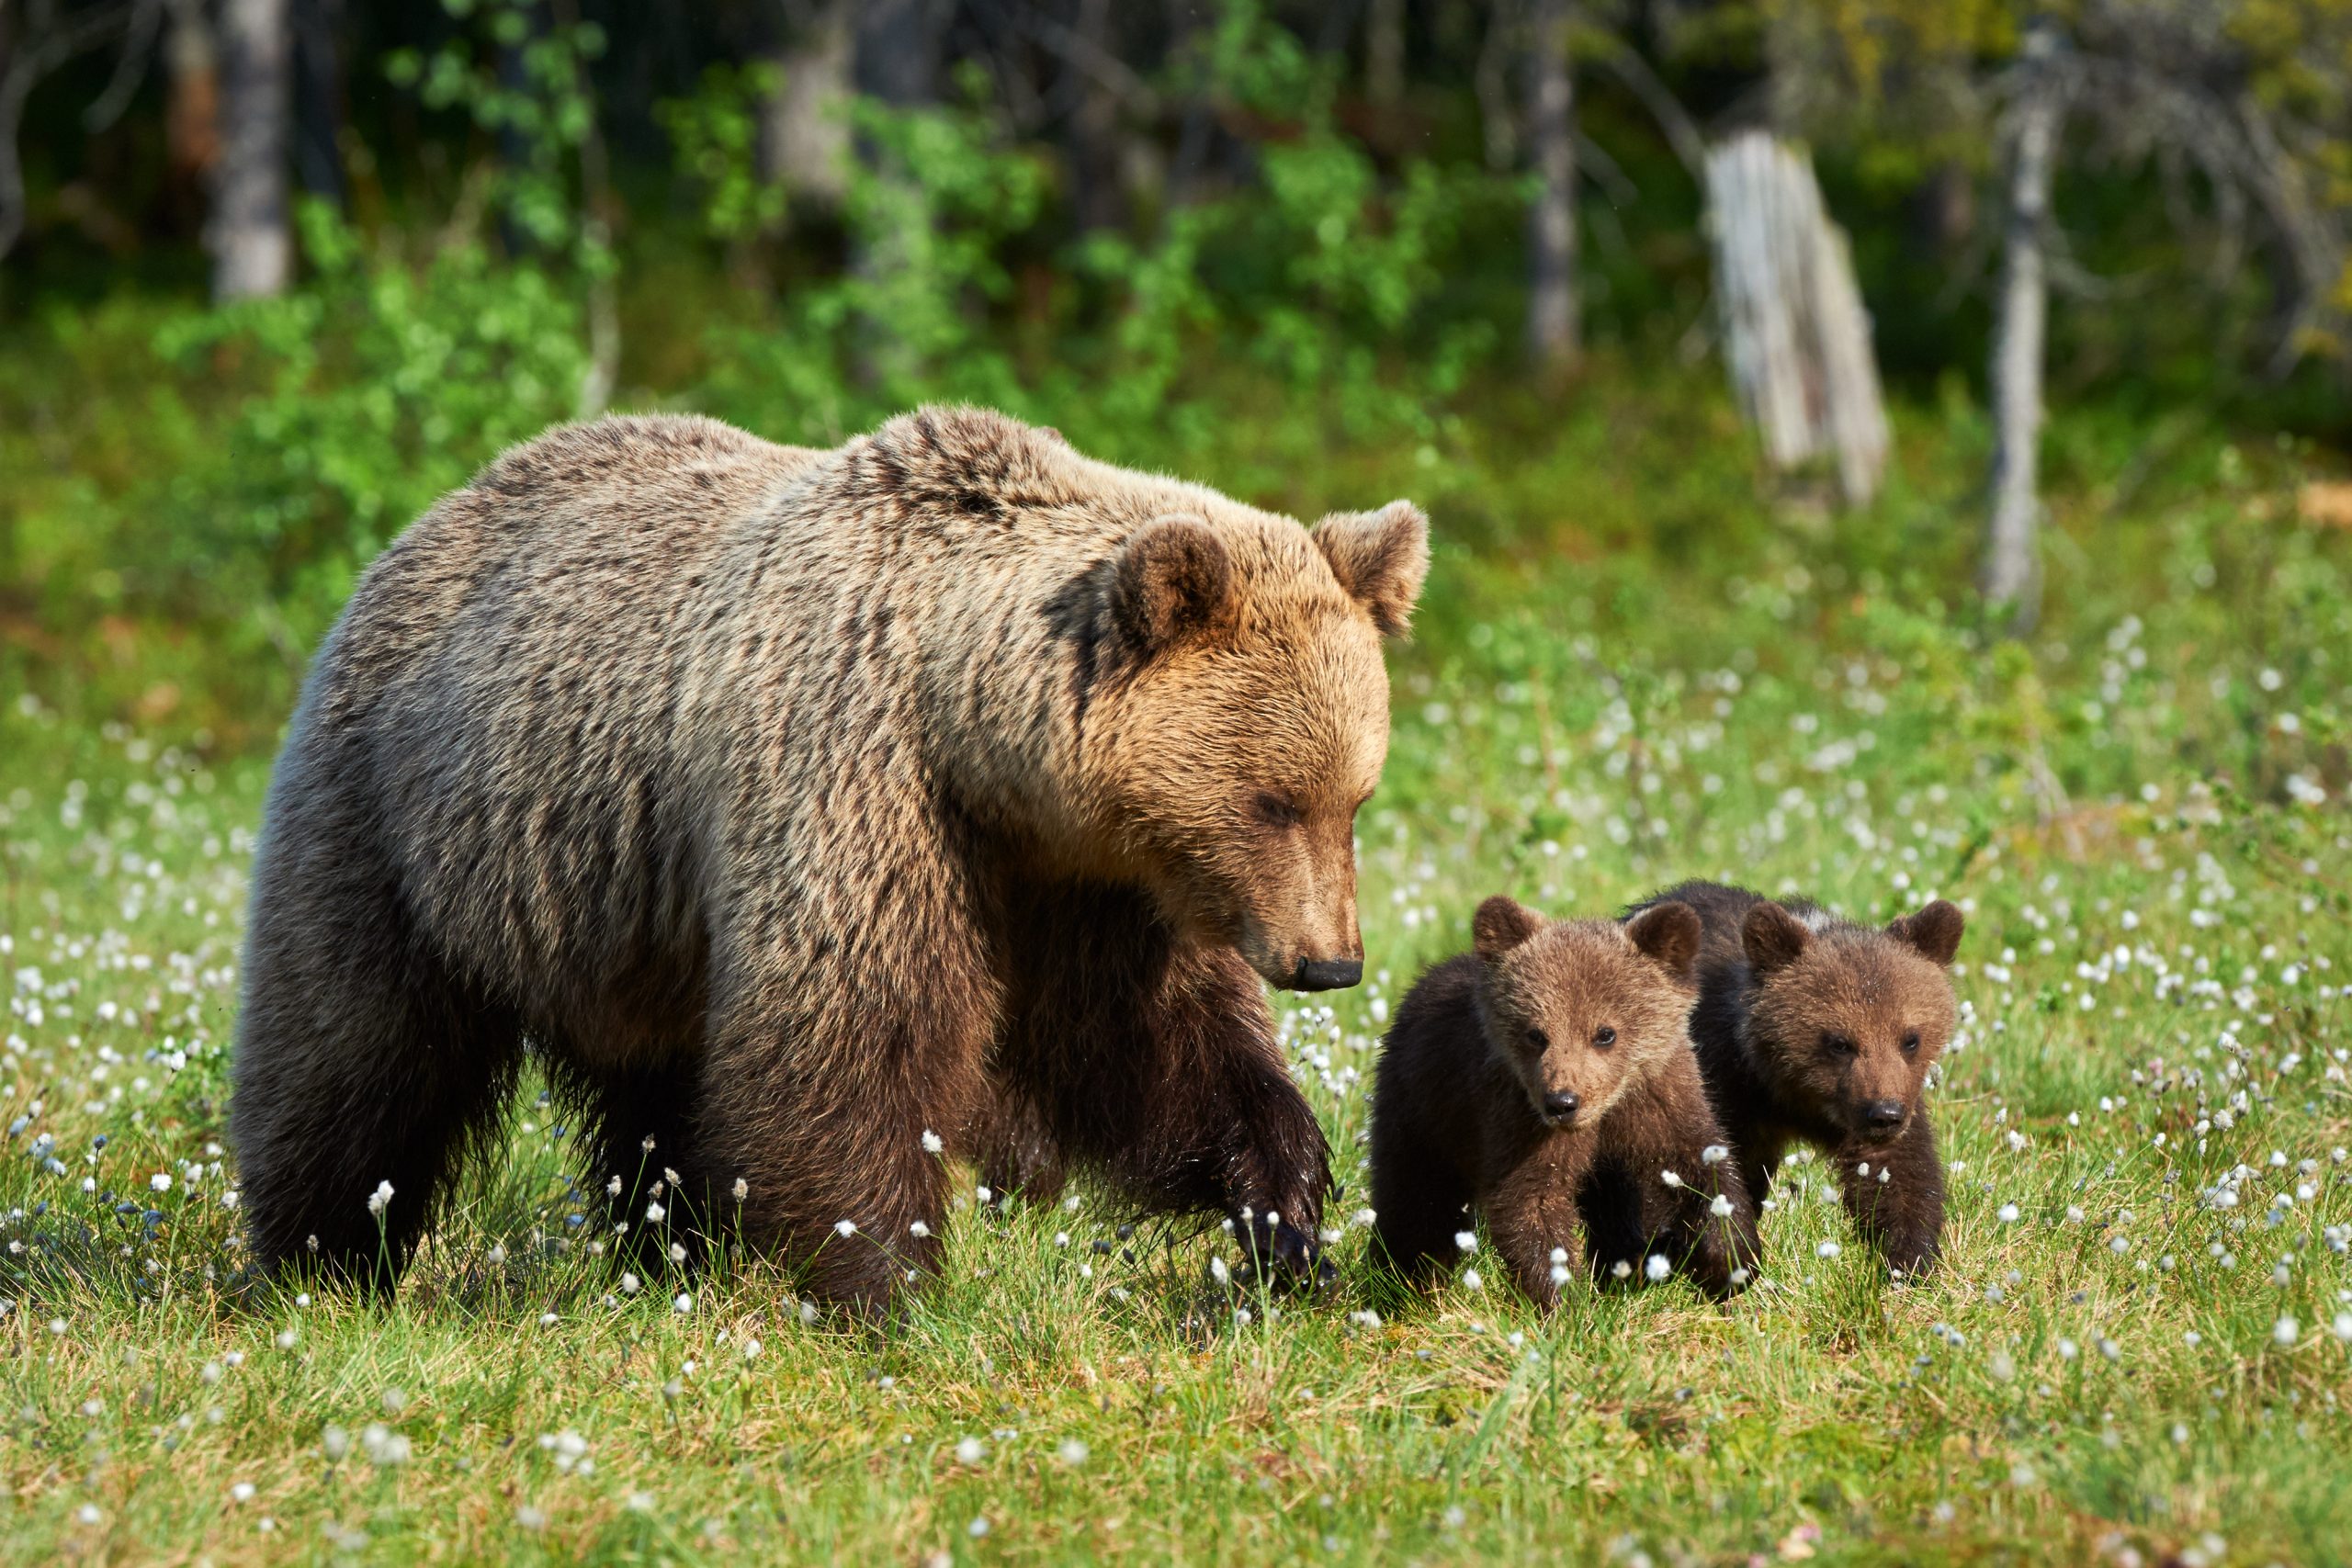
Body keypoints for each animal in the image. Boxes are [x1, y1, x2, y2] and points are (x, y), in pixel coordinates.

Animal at [229, 409, 1420, 1316]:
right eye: (1272, 801)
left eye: (1353, 798)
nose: (1330, 964)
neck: (981, 748)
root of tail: (427, 522)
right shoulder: (858, 780)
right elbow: (850, 1030)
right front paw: (890, 1282)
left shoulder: (1086, 884)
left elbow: (1144, 1044)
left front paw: (1287, 1209)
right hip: (407, 822)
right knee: (357, 1055)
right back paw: (321, 1263)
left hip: (633, 917)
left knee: (659, 1098)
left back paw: (670, 1253)